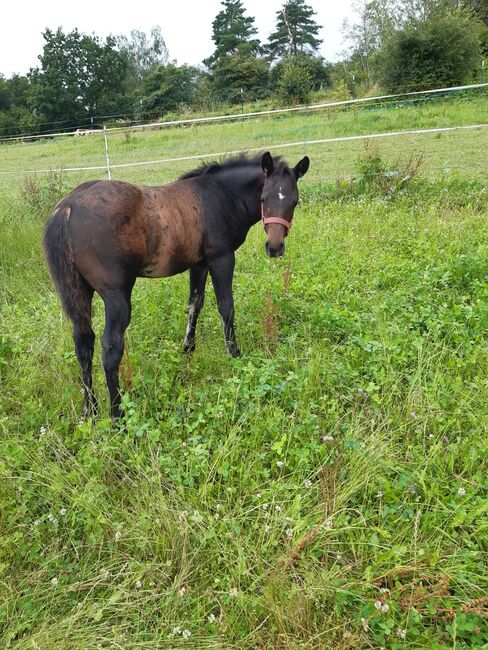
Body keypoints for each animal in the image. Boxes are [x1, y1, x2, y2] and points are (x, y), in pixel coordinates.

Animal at [44, 150, 308, 418]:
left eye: (295, 201)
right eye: (263, 197)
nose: (274, 247)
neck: (220, 195)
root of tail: (68, 207)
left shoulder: (199, 264)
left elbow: (195, 304)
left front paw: (187, 350)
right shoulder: (221, 258)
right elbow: (226, 307)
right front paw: (234, 354)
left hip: (79, 291)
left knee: (83, 342)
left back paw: (90, 409)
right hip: (116, 294)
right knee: (110, 347)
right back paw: (117, 413)